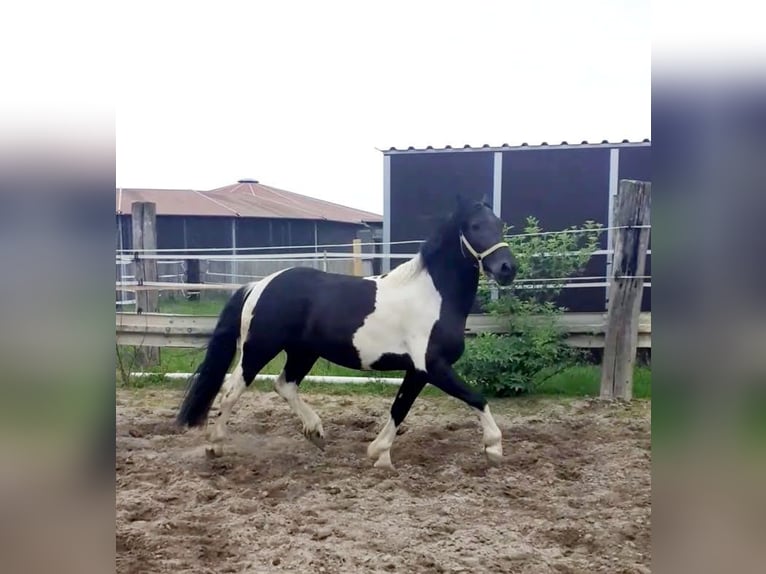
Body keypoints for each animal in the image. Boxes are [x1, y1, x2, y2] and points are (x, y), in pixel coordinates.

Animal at [177, 196, 520, 470]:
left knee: (284, 384)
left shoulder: (418, 372)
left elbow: (400, 408)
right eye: (474, 226)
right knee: (232, 390)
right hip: (259, 349)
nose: (507, 268)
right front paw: (494, 447)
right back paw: (215, 445)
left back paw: (316, 432)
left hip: (303, 352)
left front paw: (379, 454)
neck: (432, 296)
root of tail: (259, 285)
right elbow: (476, 398)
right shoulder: (432, 367)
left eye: (500, 225)